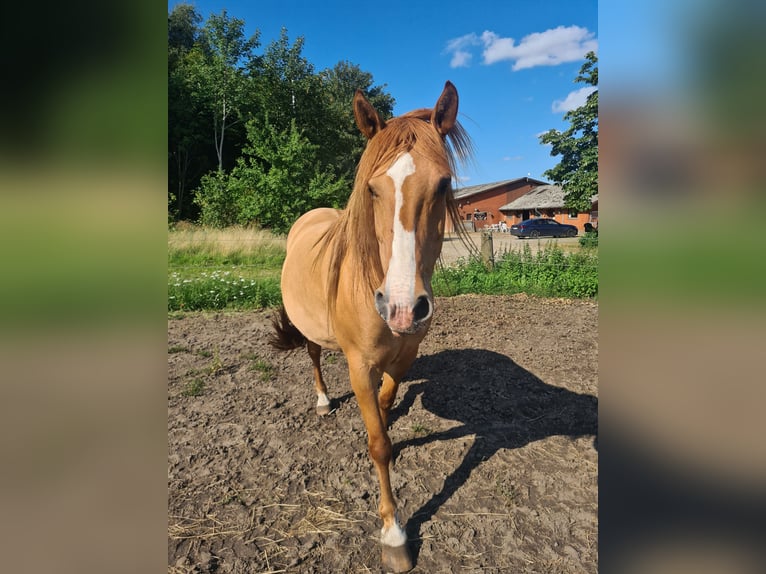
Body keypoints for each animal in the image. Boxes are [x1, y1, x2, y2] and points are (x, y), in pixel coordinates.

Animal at [270, 82, 474, 574]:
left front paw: (387, 415)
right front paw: (394, 534)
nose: (402, 307)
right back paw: (323, 401)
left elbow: (385, 402)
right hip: (312, 334)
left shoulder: (404, 358)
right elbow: (378, 444)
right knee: (313, 357)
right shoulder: (359, 365)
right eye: (372, 189)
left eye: (443, 184)